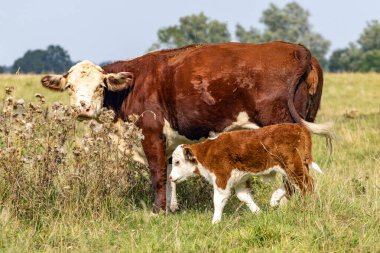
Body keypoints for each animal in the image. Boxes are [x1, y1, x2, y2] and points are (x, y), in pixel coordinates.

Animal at [39, 42, 330, 212]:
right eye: (70, 86)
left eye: (100, 86)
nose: (83, 108)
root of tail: (296, 49)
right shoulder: (168, 141)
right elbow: (169, 174)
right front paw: (172, 207)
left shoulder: (151, 134)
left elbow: (157, 175)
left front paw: (157, 211)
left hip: (279, 127)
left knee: (293, 171)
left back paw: (282, 201)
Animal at [171, 123, 322, 224]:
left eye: (177, 162)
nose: (171, 177)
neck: (206, 153)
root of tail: (298, 127)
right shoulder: (240, 180)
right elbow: (244, 197)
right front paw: (259, 213)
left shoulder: (221, 178)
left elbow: (218, 200)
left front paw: (215, 222)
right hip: (294, 167)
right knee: (291, 185)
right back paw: (274, 200)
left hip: (293, 167)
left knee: (306, 184)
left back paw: (308, 206)